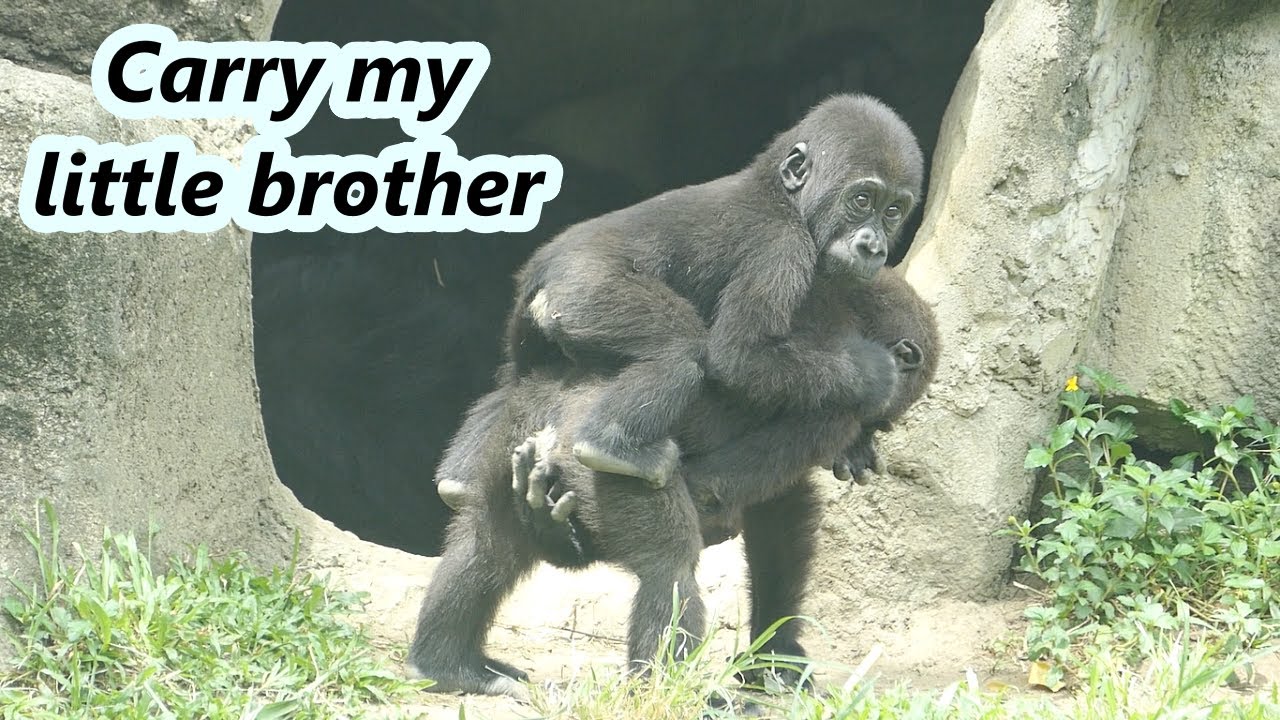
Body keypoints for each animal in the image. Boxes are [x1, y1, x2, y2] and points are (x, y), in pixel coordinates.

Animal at [408, 266, 940, 697]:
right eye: (883, 419)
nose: (871, 438)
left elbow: (780, 517)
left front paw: (776, 654)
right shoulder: (841, 402)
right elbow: (719, 488)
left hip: (514, 424)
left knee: (485, 542)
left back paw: (450, 666)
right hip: (599, 460)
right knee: (669, 568)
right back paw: (665, 691)